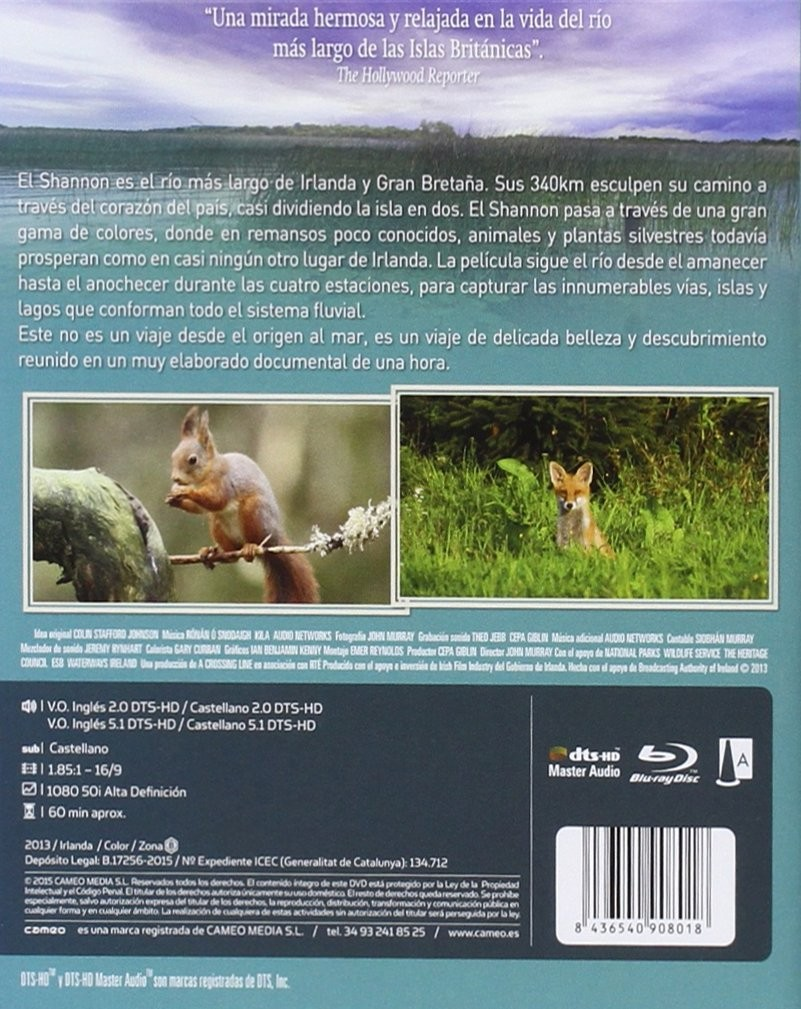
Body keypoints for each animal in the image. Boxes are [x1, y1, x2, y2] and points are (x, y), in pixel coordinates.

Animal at [166, 406, 320, 604]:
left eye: (193, 460)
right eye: (173, 456)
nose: (175, 479)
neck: (207, 472)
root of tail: (274, 536)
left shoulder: (224, 482)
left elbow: (217, 500)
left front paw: (184, 492)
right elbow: (201, 508)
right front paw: (174, 499)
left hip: (254, 513)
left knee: (252, 544)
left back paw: (250, 548)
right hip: (217, 524)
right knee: (231, 554)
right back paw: (211, 552)